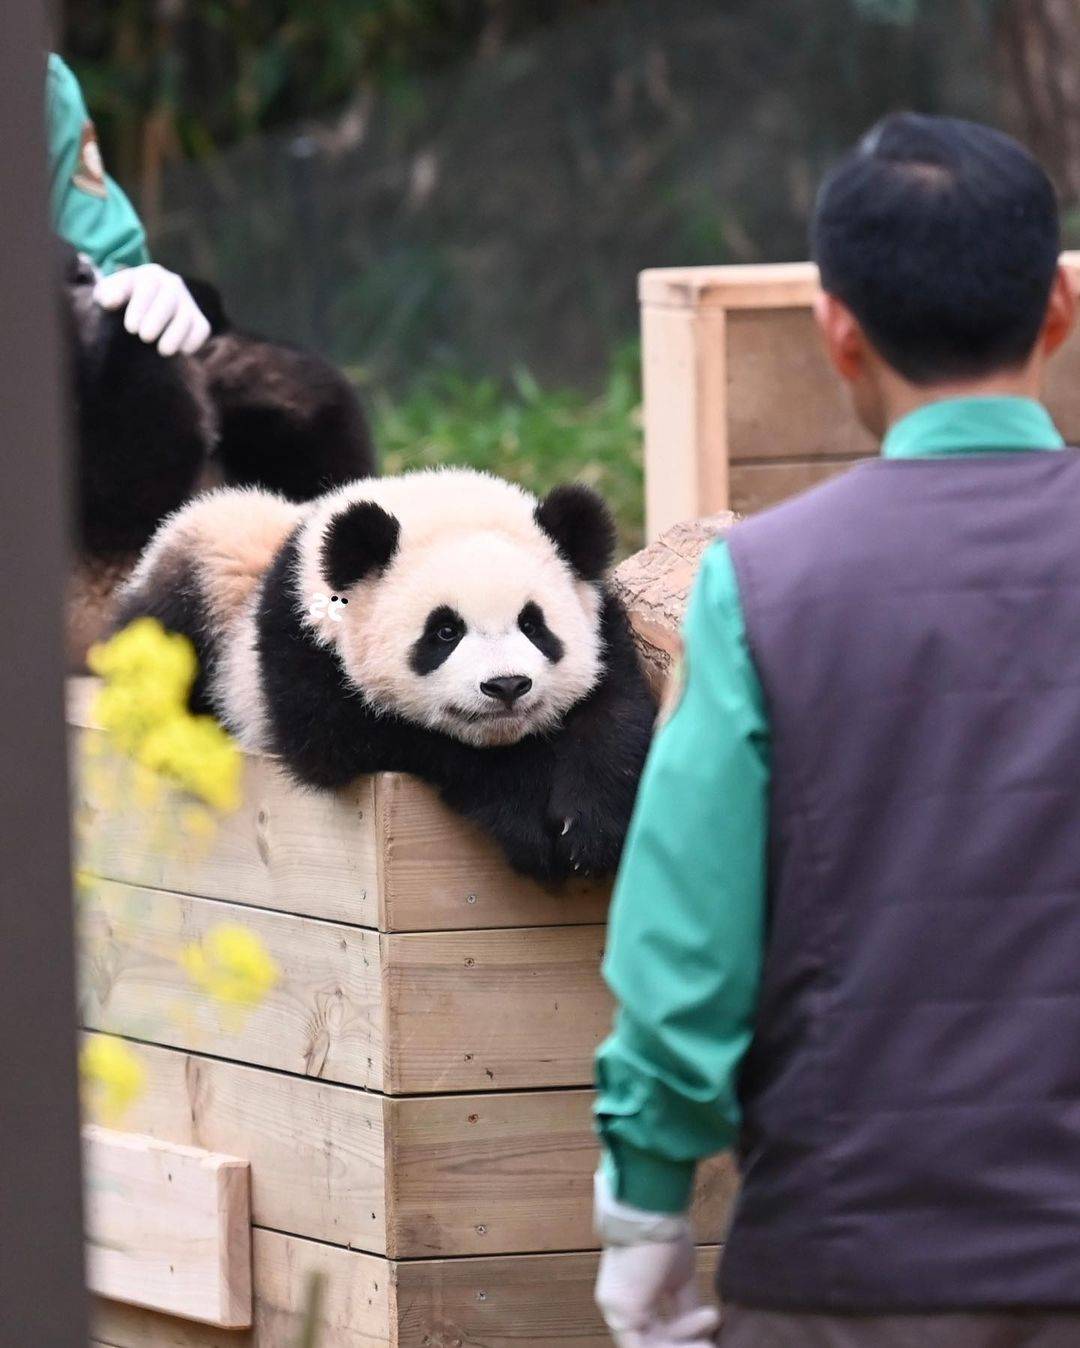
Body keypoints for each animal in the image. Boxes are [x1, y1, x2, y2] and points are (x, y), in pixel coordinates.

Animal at [117, 466, 657, 884]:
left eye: (533, 624)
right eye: (444, 631)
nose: (506, 686)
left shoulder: (606, 627)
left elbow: (615, 711)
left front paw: (591, 830)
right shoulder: (300, 646)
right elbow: (364, 736)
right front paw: (526, 818)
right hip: (207, 581)